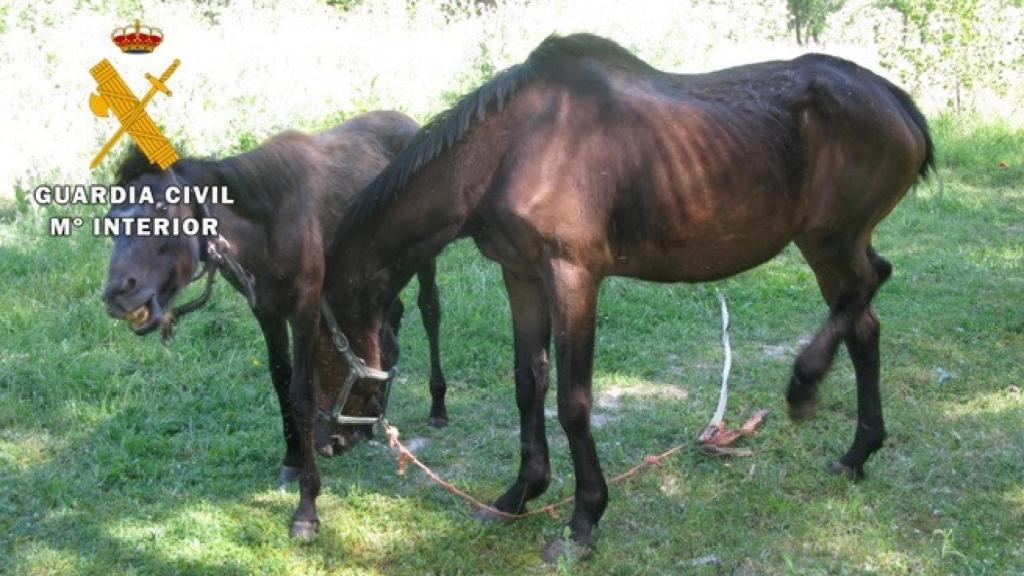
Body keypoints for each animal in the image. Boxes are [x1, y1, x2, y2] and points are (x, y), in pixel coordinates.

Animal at [101, 112, 450, 498]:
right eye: (111, 220)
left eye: (163, 209)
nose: (118, 293)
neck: (269, 224)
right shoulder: (266, 310)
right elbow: (280, 378)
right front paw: (293, 458)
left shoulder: (306, 307)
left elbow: (302, 388)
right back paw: (369, 421)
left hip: (423, 259)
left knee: (430, 312)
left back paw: (437, 406)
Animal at [313, 33, 937, 553]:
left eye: (322, 346)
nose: (327, 442)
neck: (511, 147)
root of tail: (896, 101)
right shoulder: (522, 277)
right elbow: (528, 385)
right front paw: (520, 493)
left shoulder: (573, 278)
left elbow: (574, 401)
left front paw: (584, 519)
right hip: (830, 244)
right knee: (865, 323)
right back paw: (857, 454)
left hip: (831, 240)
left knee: (867, 287)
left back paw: (805, 384)